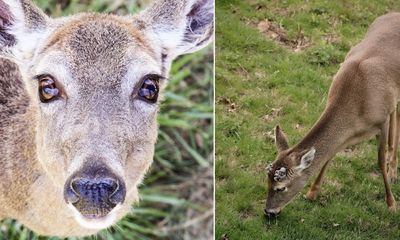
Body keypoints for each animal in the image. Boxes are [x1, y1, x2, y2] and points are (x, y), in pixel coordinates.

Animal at [264, 12, 400, 219]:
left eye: (281, 187)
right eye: (268, 181)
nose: (268, 212)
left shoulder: (381, 121)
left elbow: (379, 161)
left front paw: (391, 204)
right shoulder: (348, 133)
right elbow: (329, 155)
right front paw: (312, 192)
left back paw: (393, 170)